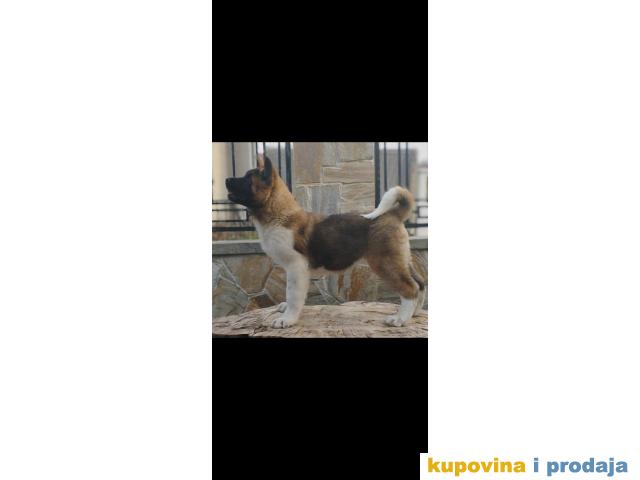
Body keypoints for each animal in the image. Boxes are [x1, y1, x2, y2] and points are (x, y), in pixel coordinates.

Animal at [225, 154, 426, 328]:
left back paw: (400, 318)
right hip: (400, 260)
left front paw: (287, 319)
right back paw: (414, 313)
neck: (279, 214)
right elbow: (291, 293)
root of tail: (393, 214)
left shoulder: (296, 266)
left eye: (248, 178)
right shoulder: (294, 269)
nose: (226, 179)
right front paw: (286, 310)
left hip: (385, 263)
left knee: (410, 288)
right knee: (420, 283)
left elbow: (293, 294)